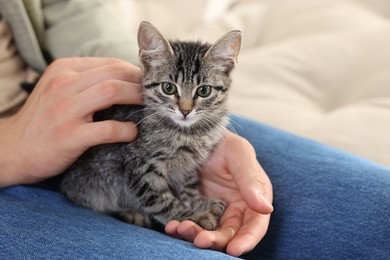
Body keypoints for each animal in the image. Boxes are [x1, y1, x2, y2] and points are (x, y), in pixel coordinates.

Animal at [60, 21, 241, 231]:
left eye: (204, 90)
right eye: (168, 87)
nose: (185, 110)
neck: (188, 133)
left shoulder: (188, 166)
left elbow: (189, 186)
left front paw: (199, 204)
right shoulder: (141, 167)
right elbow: (162, 201)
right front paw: (191, 216)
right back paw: (131, 213)